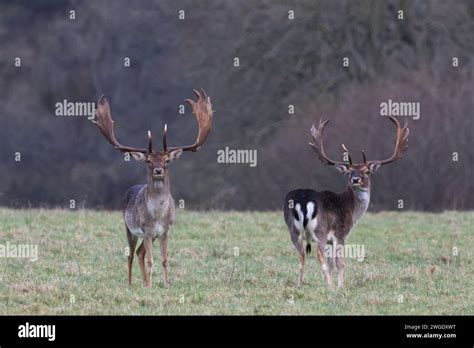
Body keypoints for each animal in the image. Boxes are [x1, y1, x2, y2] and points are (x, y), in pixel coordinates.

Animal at [93, 89, 212, 288]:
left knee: (140, 253)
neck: (157, 215)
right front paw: (150, 286)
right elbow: (150, 260)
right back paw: (132, 284)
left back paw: (144, 282)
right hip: (129, 229)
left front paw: (166, 284)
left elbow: (164, 259)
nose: (158, 170)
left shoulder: (165, 231)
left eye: (167, 160)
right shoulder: (146, 230)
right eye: (148, 161)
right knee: (131, 255)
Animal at [284, 117, 410, 288]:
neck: (351, 210)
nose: (355, 179)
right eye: (349, 172)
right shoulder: (340, 233)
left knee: (301, 255)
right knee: (318, 254)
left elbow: (332, 263)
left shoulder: (330, 240)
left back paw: (299, 285)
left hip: (293, 230)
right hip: (319, 230)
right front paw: (340, 286)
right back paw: (330, 286)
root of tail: (303, 200)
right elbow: (340, 263)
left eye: (366, 172)